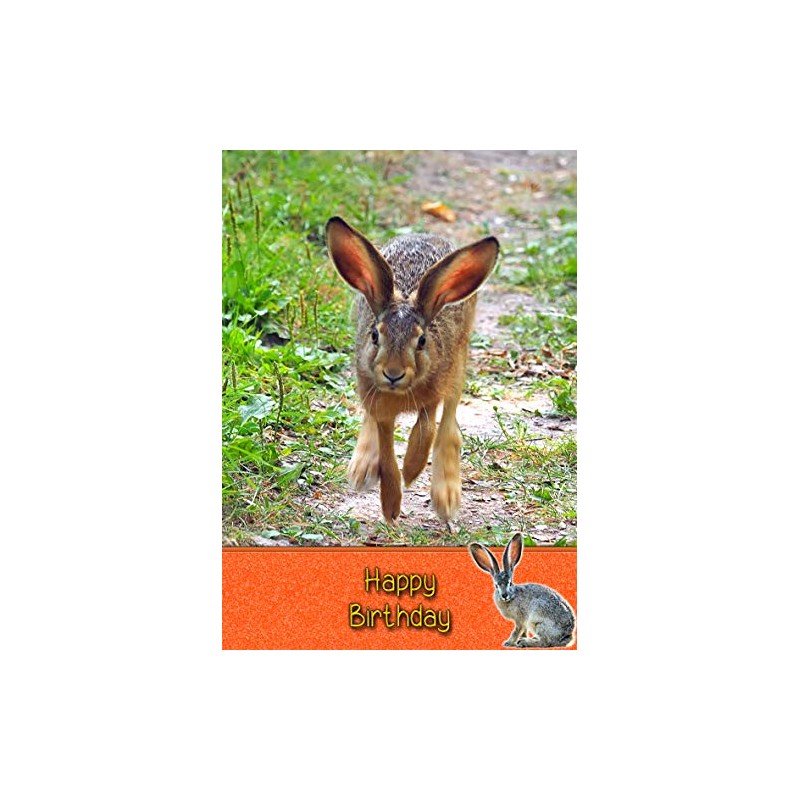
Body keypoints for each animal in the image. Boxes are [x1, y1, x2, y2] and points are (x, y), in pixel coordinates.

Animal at [326, 216, 499, 524]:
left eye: (421, 341)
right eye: (375, 336)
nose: (393, 373)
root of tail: (425, 235)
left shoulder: (434, 390)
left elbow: (426, 430)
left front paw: (412, 469)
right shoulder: (379, 406)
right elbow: (385, 448)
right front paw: (391, 505)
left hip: (459, 363)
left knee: (449, 424)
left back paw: (446, 496)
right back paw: (361, 469)